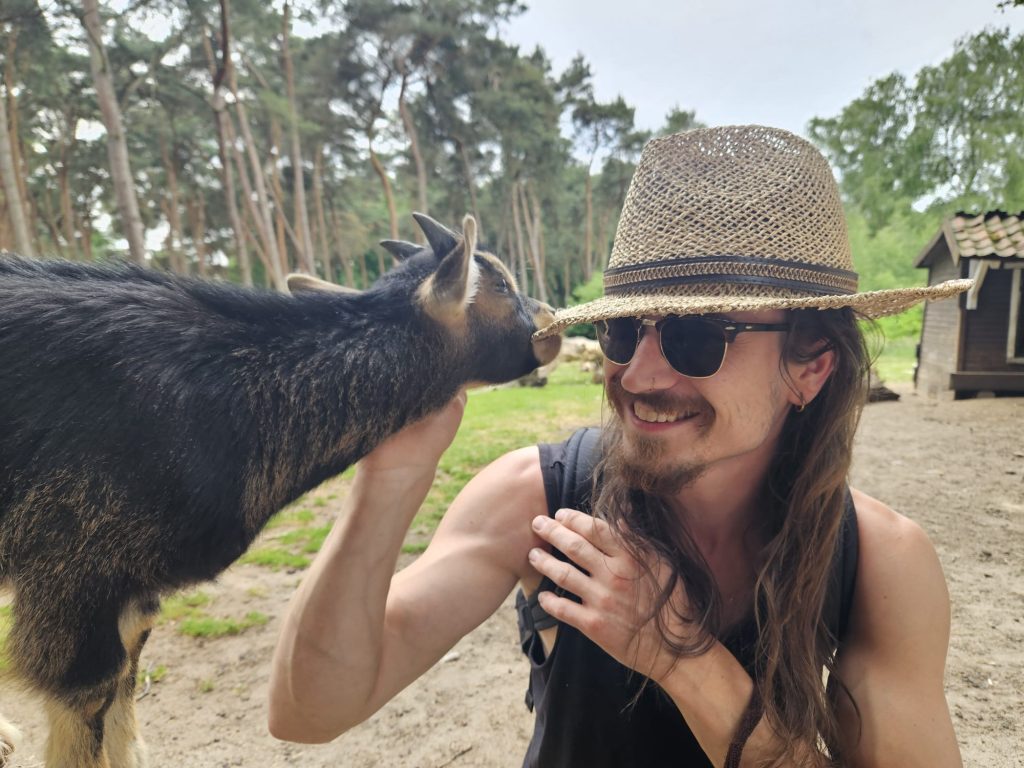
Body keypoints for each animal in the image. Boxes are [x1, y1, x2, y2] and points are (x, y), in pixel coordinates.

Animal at [0, 213, 561, 768]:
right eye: (502, 284)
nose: (550, 315)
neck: (235, 402)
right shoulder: (73, 571)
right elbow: (93, 695)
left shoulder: (131, 586)